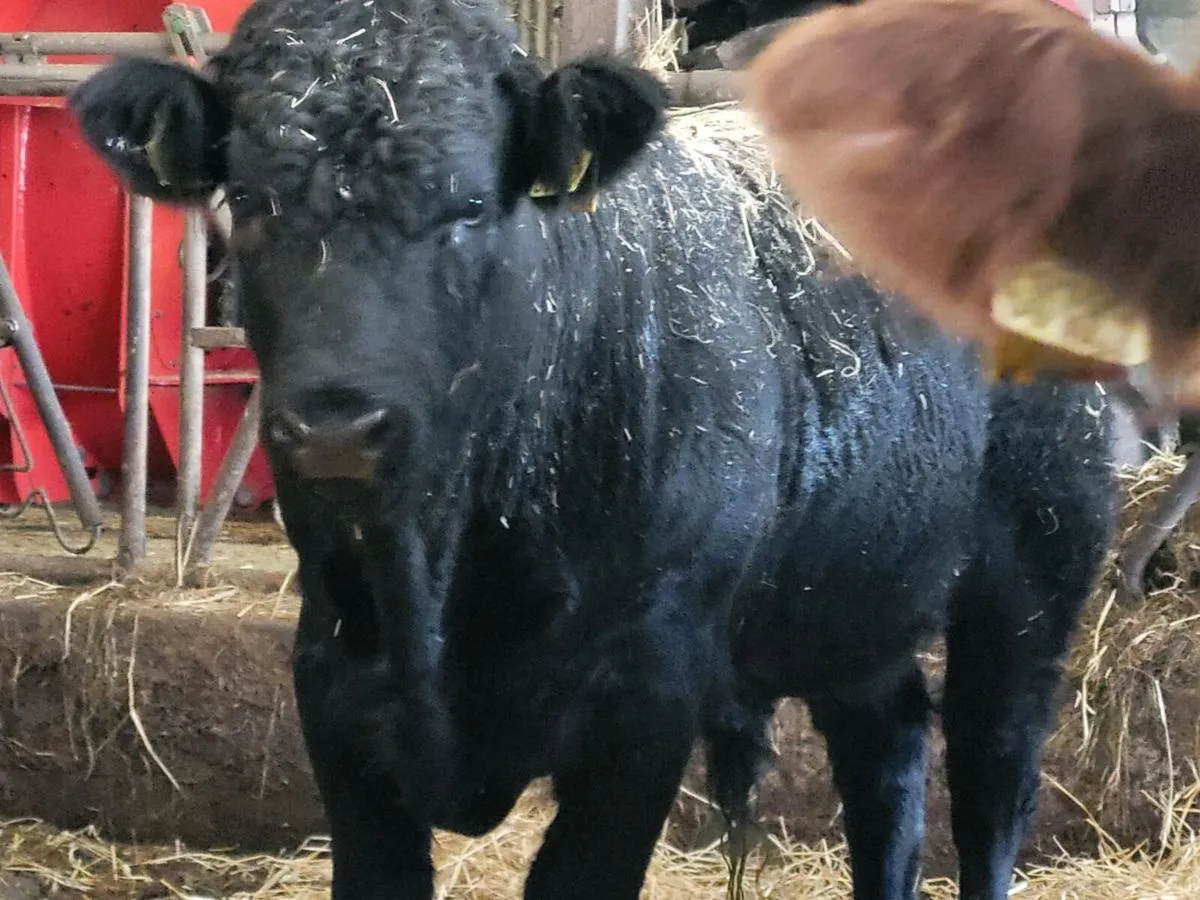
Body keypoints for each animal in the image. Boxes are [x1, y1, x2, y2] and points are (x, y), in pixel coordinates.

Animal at [69, 1, 1120, 898]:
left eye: (471, 207)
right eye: (248, 200)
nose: (334, 427)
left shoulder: (641, 703)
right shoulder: (333, 685)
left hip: (1034, 567)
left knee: (991, 781)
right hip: (852, 592)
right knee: (888, 750)